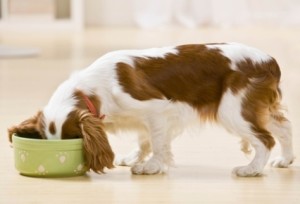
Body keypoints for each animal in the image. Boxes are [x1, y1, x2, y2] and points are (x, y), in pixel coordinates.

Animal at [8, 43, 294, 177]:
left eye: (74, 139)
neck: (93, 89)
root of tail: (269, 61)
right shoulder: (142, 119)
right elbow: (144, 139)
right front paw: (136, 157)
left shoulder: (156, 110)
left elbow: (157, 143)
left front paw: (151, 166)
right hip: (257, 108)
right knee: (284, 127)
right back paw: (286, 160)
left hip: (233, 110)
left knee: (265, 140)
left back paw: (251, 169)